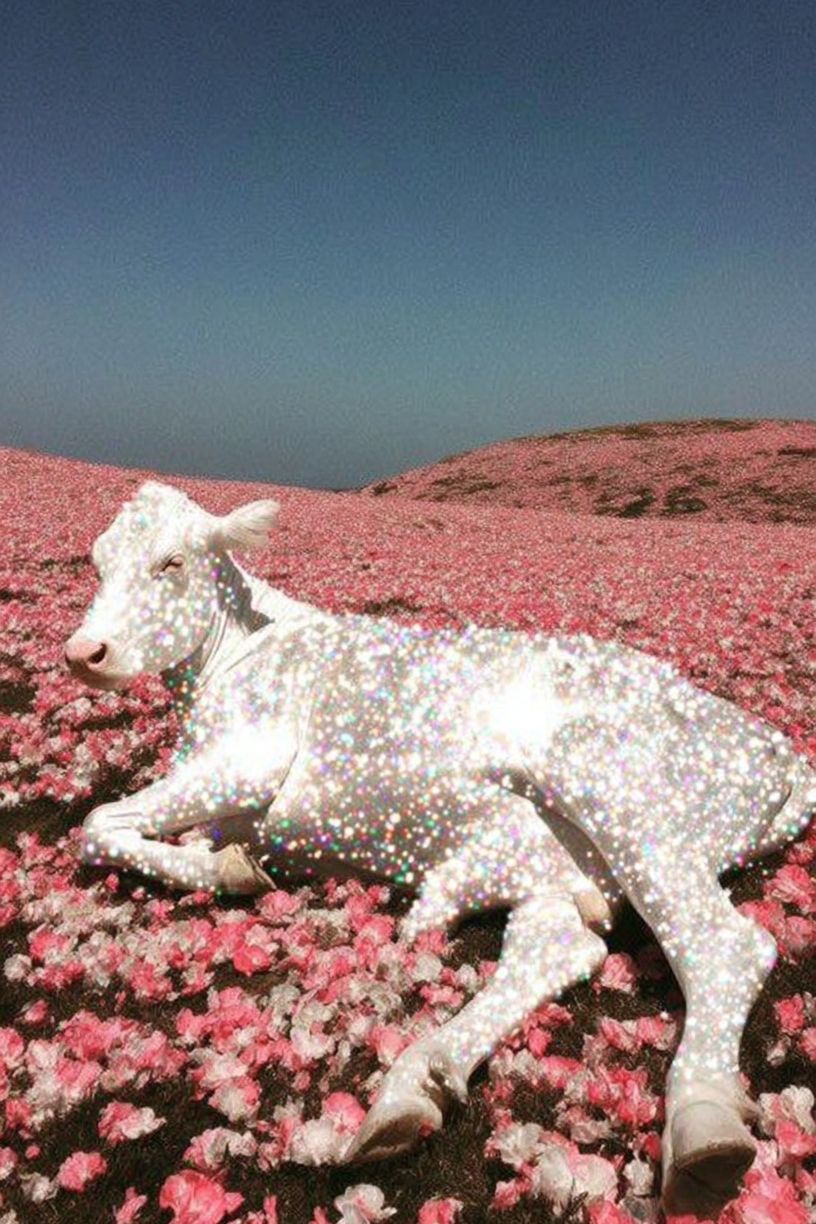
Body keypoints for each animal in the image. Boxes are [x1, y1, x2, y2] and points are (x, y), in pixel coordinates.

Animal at [64, 479, 816, 1218]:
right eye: (97, 564)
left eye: (171, 563)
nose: (83, 654)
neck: (235, 656)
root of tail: (779, 748)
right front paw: (235, 865)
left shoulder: (250, 758)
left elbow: (96, 822)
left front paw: (233, 868)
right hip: (559, 862)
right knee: (561, 947)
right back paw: (414, 1084)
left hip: (606, 776)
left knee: (724, 944)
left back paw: (703, 1126)